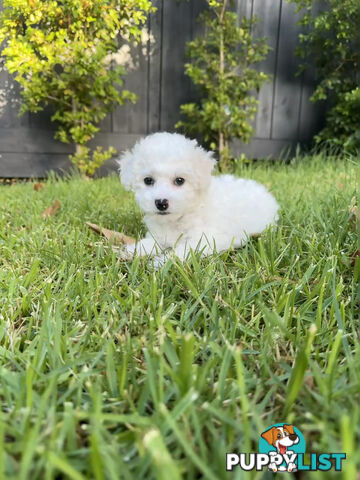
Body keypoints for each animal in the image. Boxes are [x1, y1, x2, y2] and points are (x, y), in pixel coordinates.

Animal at [118, 132, 278, 262]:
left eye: (180, 180)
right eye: (148, 180)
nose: (161, 203)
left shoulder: (208, 240)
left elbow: (183, 251)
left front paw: (162, 262)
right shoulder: (159, 238)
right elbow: (148, 244)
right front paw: (129, 252)